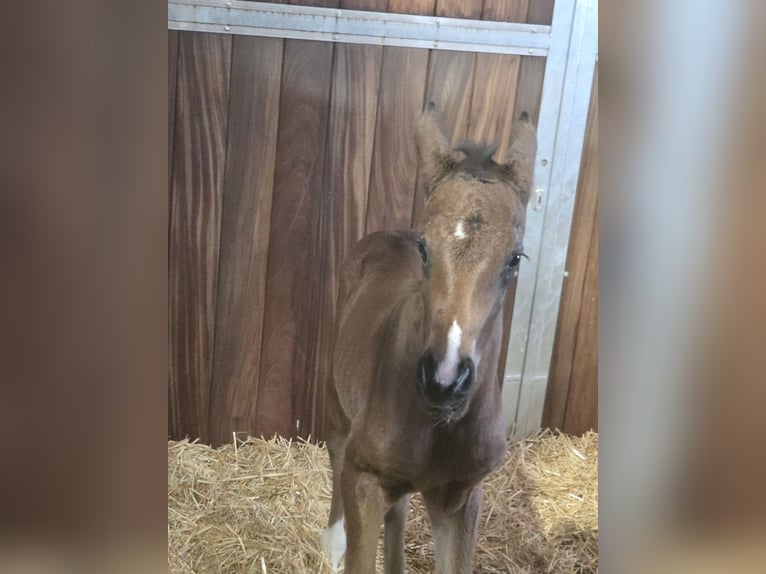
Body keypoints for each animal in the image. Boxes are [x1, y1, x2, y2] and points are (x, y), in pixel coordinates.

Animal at [320, 103, 537, 573]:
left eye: (515, 259)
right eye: (424, 248)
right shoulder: (363, 479)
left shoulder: (460, 497)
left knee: (399, 508)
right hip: (339, 412)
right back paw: (331, 543)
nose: (444, 380)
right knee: (337, 454)